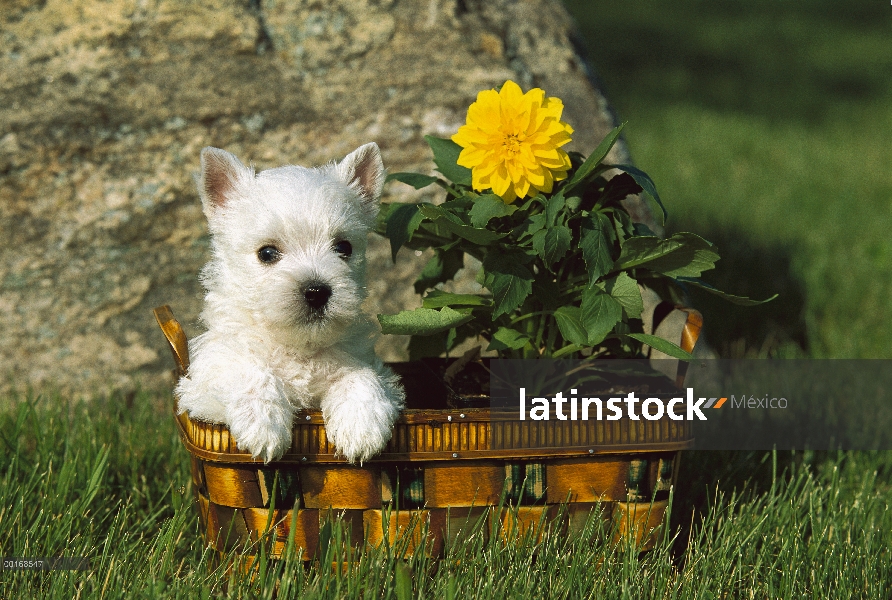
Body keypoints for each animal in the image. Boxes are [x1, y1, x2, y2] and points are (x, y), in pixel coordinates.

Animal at [176, 144, 406, 464]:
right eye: (267, 253)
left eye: (344, 247)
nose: (317, 291)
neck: (297, 348)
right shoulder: (205, 380)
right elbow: (248, 369)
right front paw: (264, 426)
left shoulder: (363, 363)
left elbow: (360, 375)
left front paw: (362, 428)